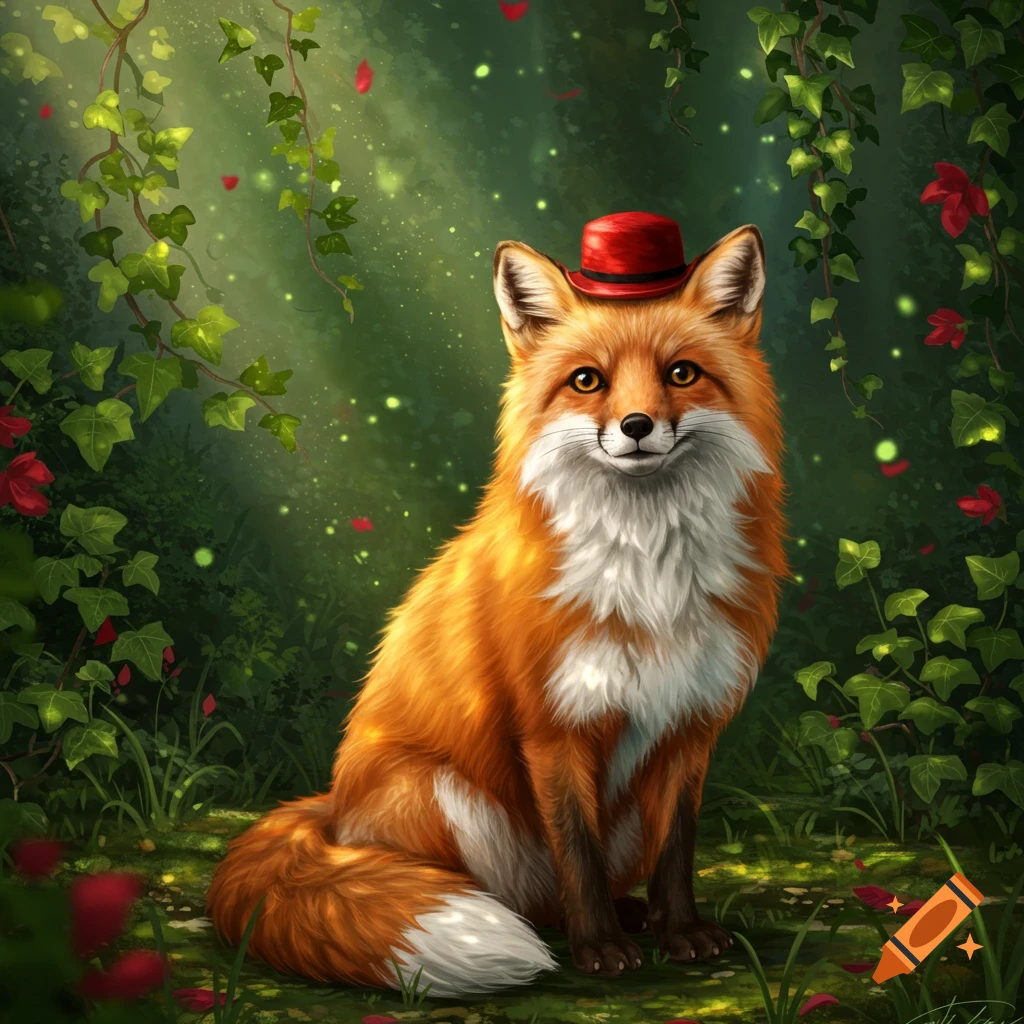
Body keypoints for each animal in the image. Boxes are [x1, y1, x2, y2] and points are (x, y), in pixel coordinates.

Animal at [206, 215, 787, 998]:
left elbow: (678, 848)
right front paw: (599, 949)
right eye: (587, 381)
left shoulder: (689, 724)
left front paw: (682, 933)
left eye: (681, 373)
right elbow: (577, 852)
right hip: (444, 796)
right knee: (518, 897)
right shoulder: (552, 725)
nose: (636, 425)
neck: (648, 575)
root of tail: (334, 809)